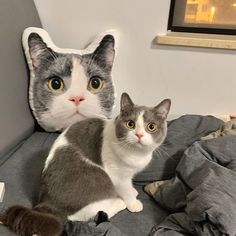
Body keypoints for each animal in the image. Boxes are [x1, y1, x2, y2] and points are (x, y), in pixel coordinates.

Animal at [0, 92, 171, 236]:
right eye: (130, 124)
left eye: (151, 127)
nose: (139, 135)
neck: (135, 154)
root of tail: (45, 202)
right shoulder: (116, 175)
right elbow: (124, 189)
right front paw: (132, 203)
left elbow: (128, 185)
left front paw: (133, 192)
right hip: (97, 176)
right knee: (82, 215)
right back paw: (118, 203)